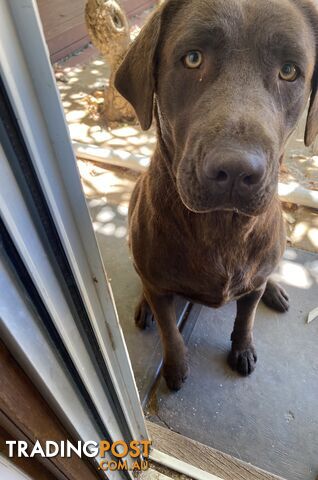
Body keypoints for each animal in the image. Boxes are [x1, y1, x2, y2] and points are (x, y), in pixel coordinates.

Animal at [115, 0, 318, 390]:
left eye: (289, 71)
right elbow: (170, 331)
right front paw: (175, 366)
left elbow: (245, 318)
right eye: (193, 58)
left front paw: (242, 348)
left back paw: (273, 288)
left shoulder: (250, 283)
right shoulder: (159, 286)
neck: (223, 227)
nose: (236, 171)